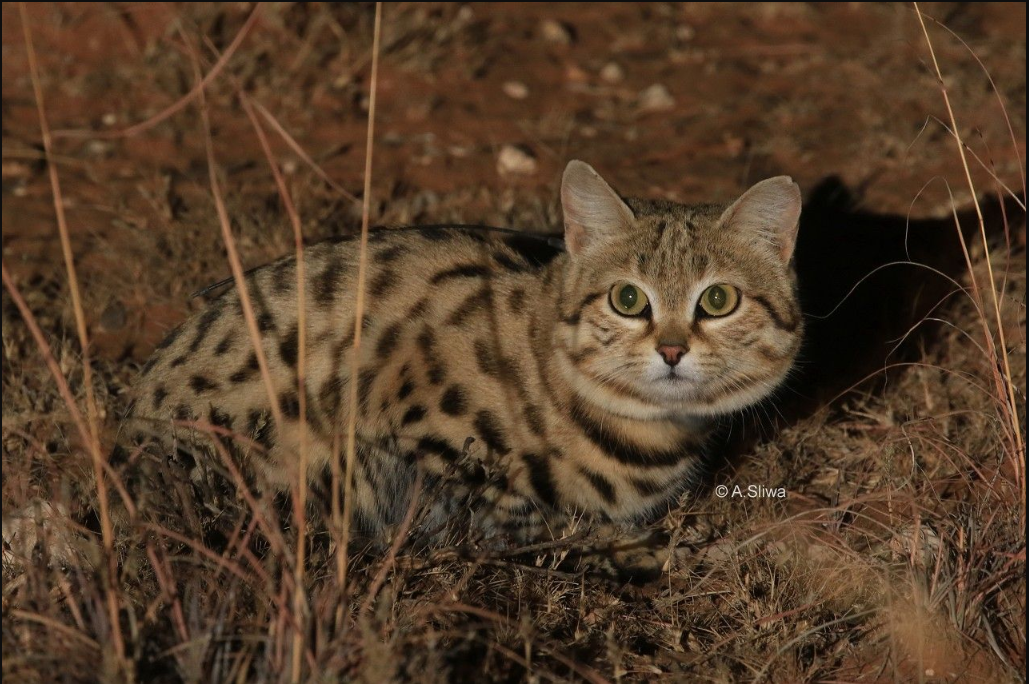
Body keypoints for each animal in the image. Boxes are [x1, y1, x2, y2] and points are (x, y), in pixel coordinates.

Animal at [118, 162, 802, 580]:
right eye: (628, 299)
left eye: (718, 300)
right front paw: (636, 546)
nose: (672, 351)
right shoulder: (401, 444)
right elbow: (523, 520)